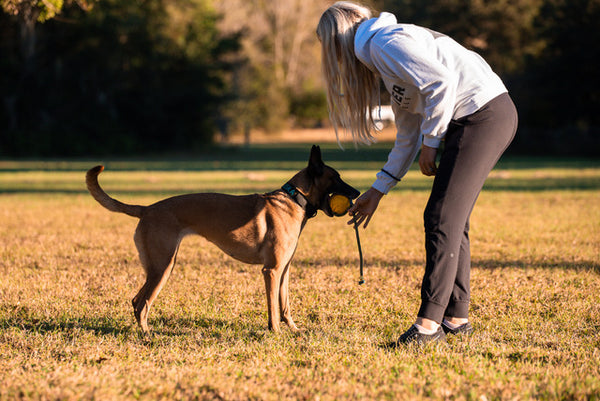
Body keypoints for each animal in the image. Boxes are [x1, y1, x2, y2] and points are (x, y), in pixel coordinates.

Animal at [84, 145, 356, 332]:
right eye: (336, 178)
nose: (356, 192)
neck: (293, 198)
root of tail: (147, 208)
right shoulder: (271, 271)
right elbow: (273, 308)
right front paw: (275, 332)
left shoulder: (284, 271)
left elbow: (285, 305)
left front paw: (294, 330)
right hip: (163, 267)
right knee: (143, 303)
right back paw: (147, 335)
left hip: (160, 267)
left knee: (136, 300)